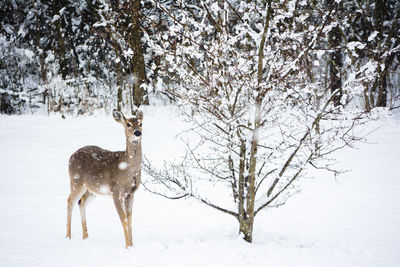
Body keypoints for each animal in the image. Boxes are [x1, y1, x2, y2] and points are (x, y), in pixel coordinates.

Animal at [64, 110, 142, 248]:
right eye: (128, 124)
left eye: (141, 123)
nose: (137, 132)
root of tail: (71, 156)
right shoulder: (115, 191)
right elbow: (123, 219)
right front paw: (128, 247)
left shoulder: (130, 194)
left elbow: (130, 219)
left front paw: (132, 245)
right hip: (76, 181)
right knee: (70, 201)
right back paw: (68, 237)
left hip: (92, 189)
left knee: (81, 202)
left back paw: (86, 237)